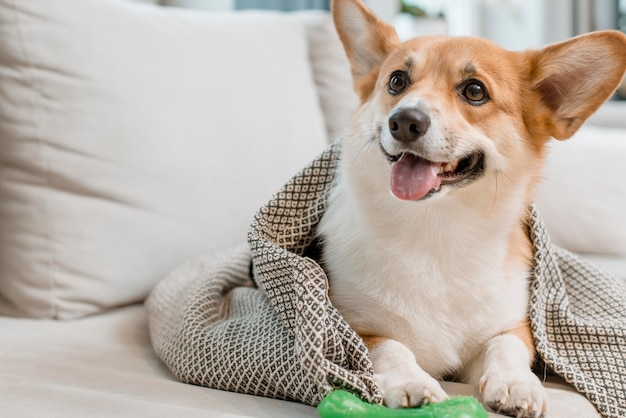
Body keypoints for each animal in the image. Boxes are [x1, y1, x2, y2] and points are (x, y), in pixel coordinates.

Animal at [316, 1, 624, 416]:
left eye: (475, 91)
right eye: (397, 81)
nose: (404, 121)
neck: (437, 230)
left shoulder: (515, 327)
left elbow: (506, 345)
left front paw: (515, 384)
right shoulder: (352, 327)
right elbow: (390, 348)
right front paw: (412, 383)